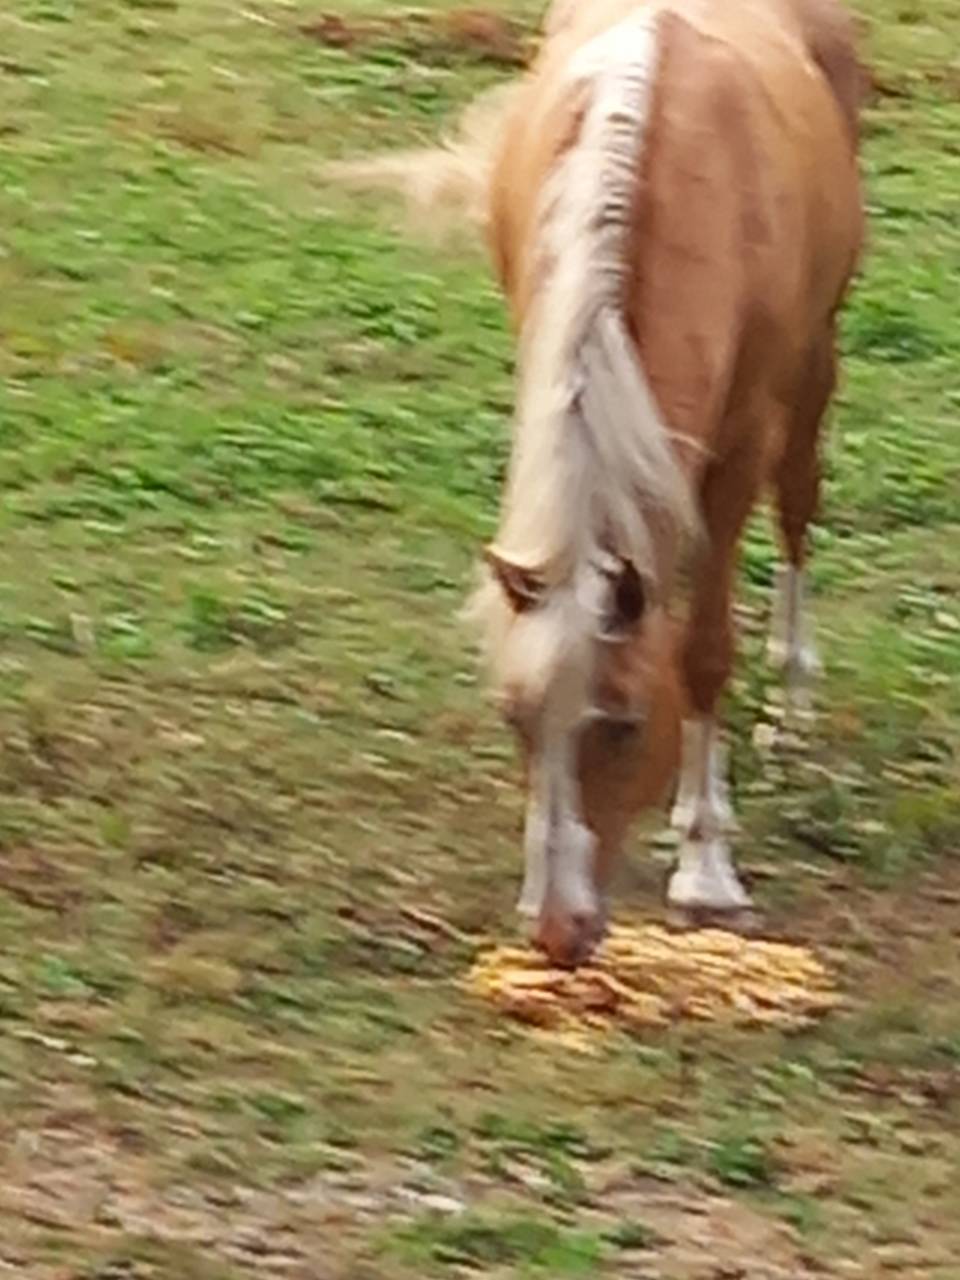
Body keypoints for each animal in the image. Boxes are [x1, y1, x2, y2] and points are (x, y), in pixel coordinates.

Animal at [332, 0, 864, 966]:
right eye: (514, 719)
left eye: (621, 725)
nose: (556, 931)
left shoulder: (740, 446)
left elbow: (702, 652)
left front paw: (706, 865)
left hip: (816, 356)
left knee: (800, 505)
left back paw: (793, 695)